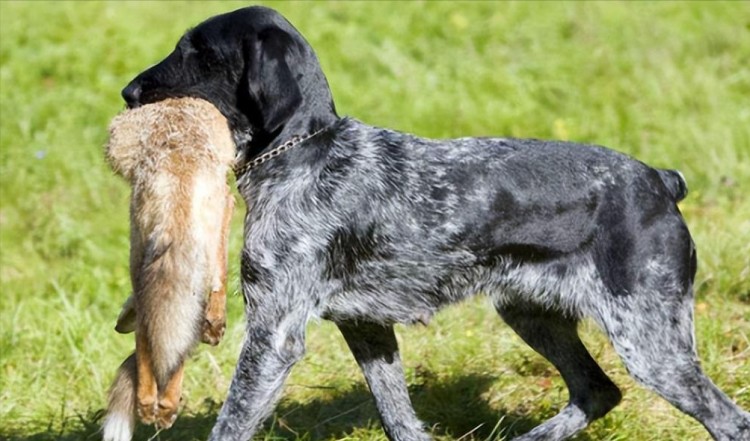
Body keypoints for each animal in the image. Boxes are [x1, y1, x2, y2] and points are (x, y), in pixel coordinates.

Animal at [101, 98, 234, 438]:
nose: (117, 326)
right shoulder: (227, 209)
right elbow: (220, 281)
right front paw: (215, 327)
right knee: (167, 338)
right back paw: (162, 407)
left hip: (139, 260)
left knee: (150, 334)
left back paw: (150, 403)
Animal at [120, 6, 748, 440]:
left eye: (196, 50)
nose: (127, 91)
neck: (306, 151)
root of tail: (660, 181)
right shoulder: (366, 328)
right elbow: (398, 414)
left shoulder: (275, 333)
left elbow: (233, 420)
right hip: (531, 311)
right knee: (597, 392)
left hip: (650, 340)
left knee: (726, 419)